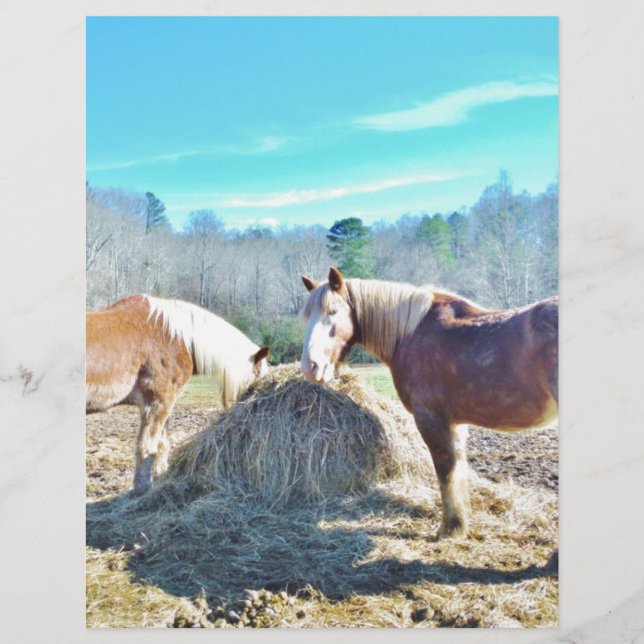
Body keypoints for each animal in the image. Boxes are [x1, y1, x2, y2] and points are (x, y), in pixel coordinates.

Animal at [86, 294, 270, 494]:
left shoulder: (166, 404)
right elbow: (148, 447)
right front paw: (144, 488)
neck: (176, 338)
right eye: (258, 376)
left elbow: (162, 443)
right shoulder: (158, 404)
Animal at [300, 268, 558, 538]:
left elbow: (445, 471)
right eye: (308, 316)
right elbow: (458, 469)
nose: (310, 367)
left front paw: (449, 528)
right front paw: (459, 524)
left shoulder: (431, 419)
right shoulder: (455, 424)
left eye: (332, 312)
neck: (411, 333)